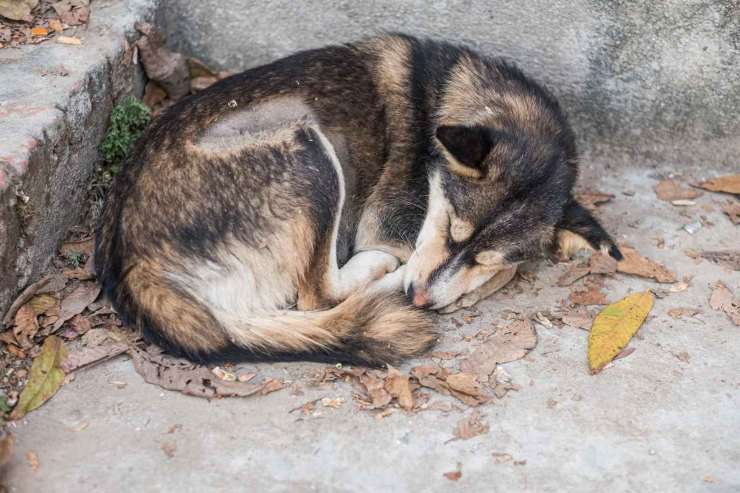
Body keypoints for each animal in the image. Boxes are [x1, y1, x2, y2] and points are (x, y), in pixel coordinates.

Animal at [95, 33, 620, 366]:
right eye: (449, 225)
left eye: (480, 255)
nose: (420, 297)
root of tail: (131, 263)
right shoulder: (388, 225)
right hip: (307, 149)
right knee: (318, 295)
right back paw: (383, 276)